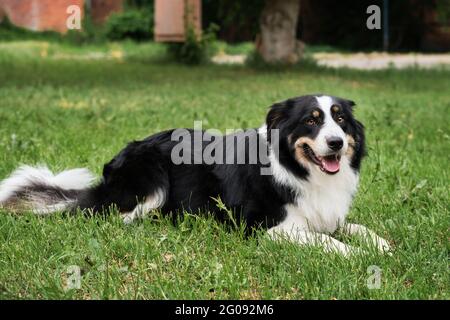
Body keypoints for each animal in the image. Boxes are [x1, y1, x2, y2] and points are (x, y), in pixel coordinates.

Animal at [0, 94, 388, 255]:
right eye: (311, 120)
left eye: (340, 119)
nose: (337, 143)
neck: (300, 170)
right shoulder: (264, 227)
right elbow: (324, 240)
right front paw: (356, 254)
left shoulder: (327, 213)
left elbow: (357, 228)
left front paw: (381, 245)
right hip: (152, 180)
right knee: (116, 218)